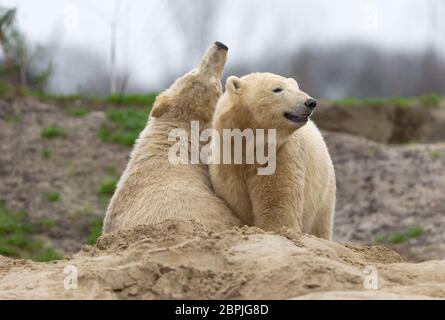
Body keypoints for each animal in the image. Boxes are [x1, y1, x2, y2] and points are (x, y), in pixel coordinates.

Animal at [210, 72, 334, 238]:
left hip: (324, 194)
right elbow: (236, 199)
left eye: (296, 87)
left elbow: (277, 200)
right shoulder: (228, 158)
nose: (310, 102)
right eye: (277, 89)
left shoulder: (281, 153)